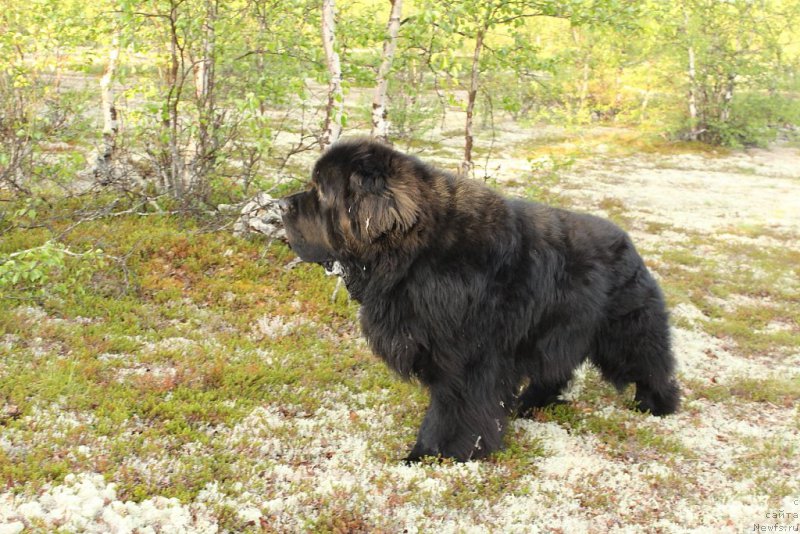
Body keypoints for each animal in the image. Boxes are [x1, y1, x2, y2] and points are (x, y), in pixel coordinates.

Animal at [278, 140, 680, 462]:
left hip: (623, 331)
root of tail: (629, 242)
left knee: (650, 362)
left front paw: (434, 453)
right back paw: (530, 403)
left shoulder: (467, 360)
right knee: (556, 368)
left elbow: (454, 410)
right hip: (557, 332)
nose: (281, 204)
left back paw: (658, 404)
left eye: (319, 192)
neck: (414, 255)